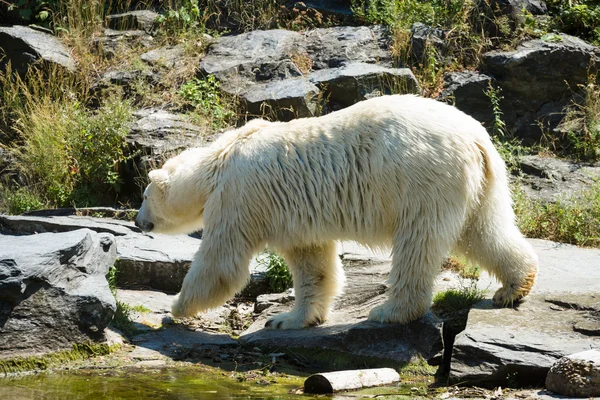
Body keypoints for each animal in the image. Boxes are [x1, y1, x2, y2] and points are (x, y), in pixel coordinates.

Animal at [136, 95, 540, 330]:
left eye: (143, 196)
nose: (137, 222)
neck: (221, 157)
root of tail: (477, 138)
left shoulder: (241, 198)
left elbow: (221, 263)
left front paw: (175, 308)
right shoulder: (294, 215)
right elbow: (314, 263)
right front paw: (289, 319)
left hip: (422, 179)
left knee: (418, 244)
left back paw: (390, 311)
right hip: (479, 184)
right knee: (483, 230)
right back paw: (514, 286)